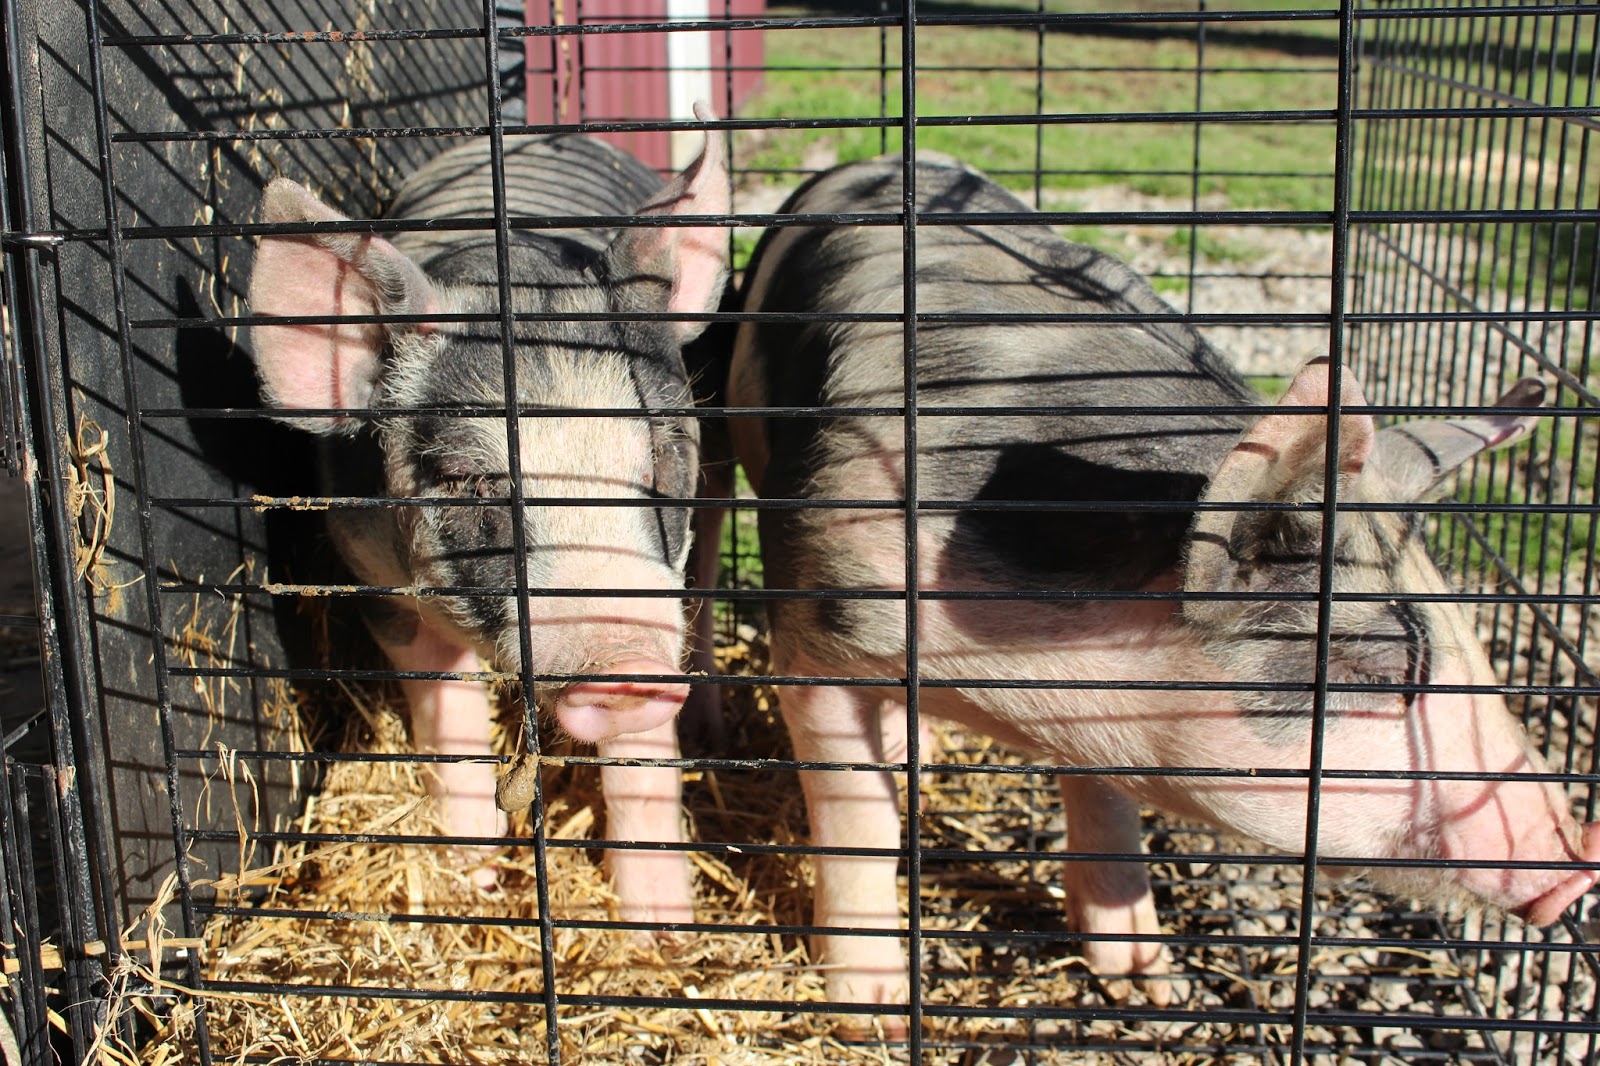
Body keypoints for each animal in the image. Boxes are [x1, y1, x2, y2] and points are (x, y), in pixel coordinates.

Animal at [245, 111, 729, 923]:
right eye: (475, 482)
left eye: (658, 464)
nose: (624, 665)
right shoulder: (378, 582)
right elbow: (448, 721)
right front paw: (472, 878)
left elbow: (644, 766)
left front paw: (661, 930)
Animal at [726, 154, 1599, 1021]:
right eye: (1389, 675)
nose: (1579, 860)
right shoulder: (812, 617)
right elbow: (859, 821)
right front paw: (868, 1010)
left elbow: (1109, 803)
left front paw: (1150, 982)